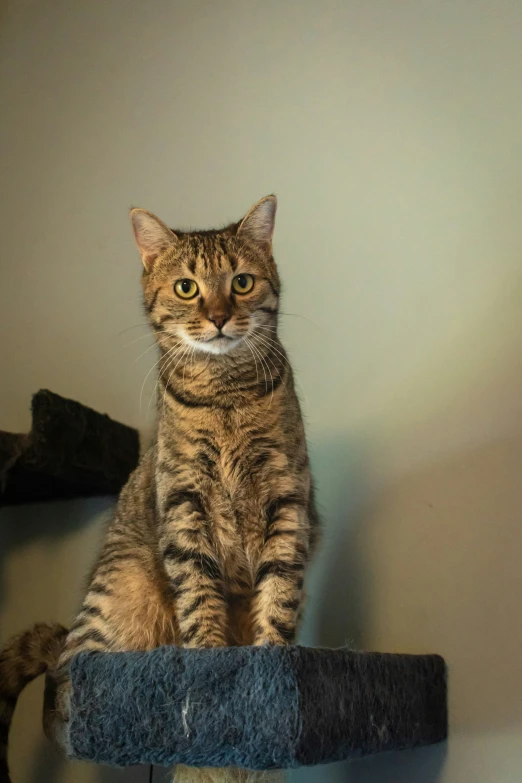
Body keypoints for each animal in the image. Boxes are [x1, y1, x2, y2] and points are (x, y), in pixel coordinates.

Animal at [0, 196, 316, 783]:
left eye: (241, 282)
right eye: (187, 288)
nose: (218, 316)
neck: (225, 394)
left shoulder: (287, 498)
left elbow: (279, 595)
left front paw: (269, 672)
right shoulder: (184, 502)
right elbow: (199, 597)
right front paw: (211, 664)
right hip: (119, 597)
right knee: (64, 689)